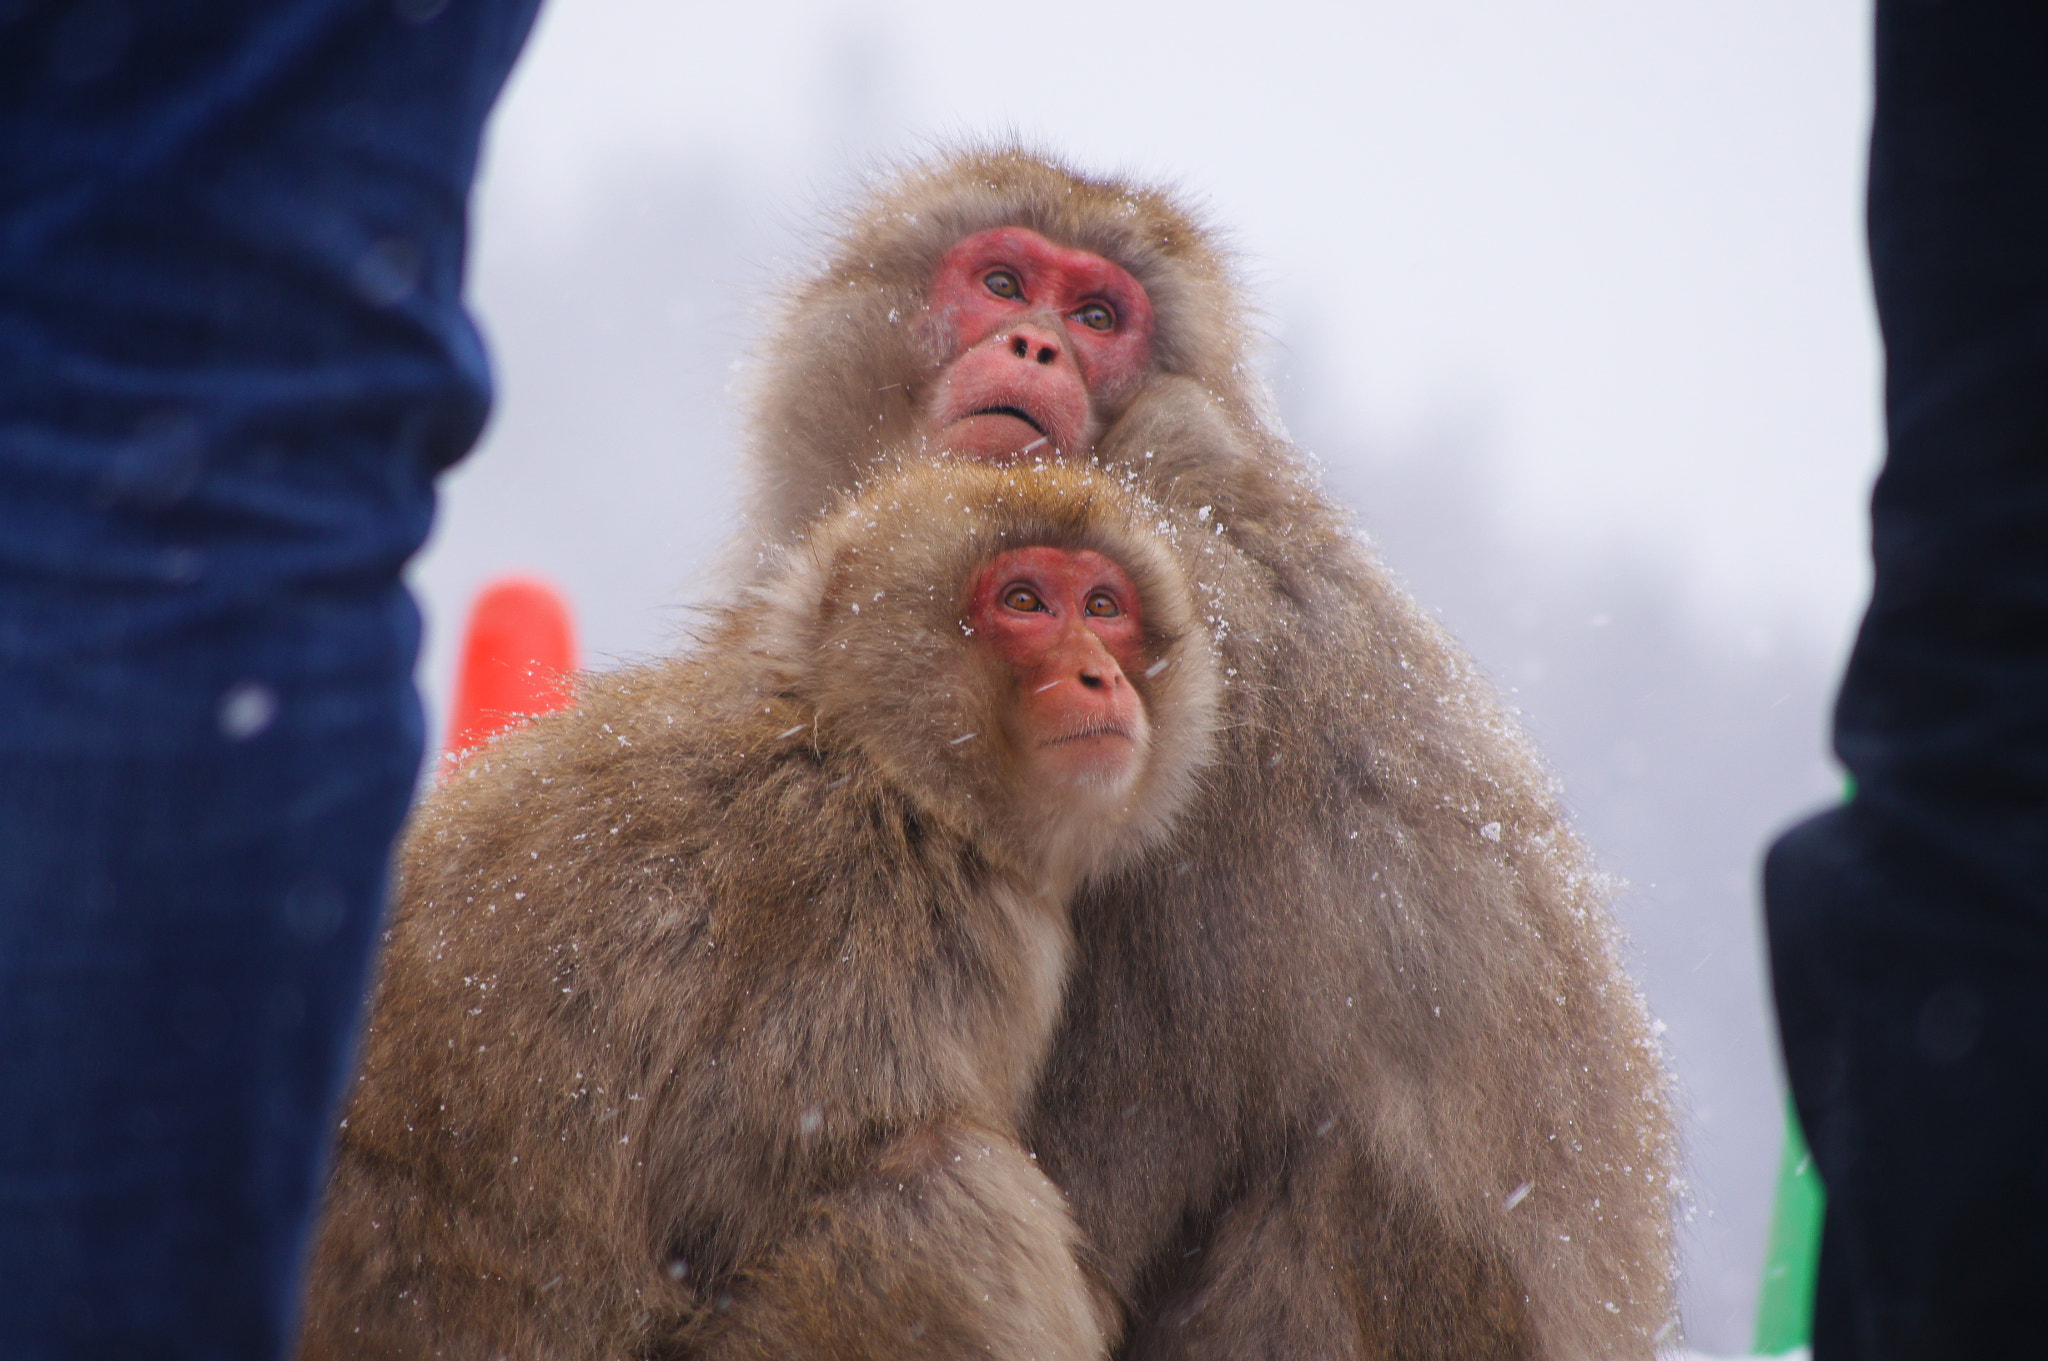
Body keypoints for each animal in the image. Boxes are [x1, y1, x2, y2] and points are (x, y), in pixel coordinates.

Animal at [299, 458, 1220, 1358]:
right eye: (1024, 602)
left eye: (1103, 607)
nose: (1100, 674)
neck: (877, 761)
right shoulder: (872, 919)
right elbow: (726, 1184)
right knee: (945, 1199)